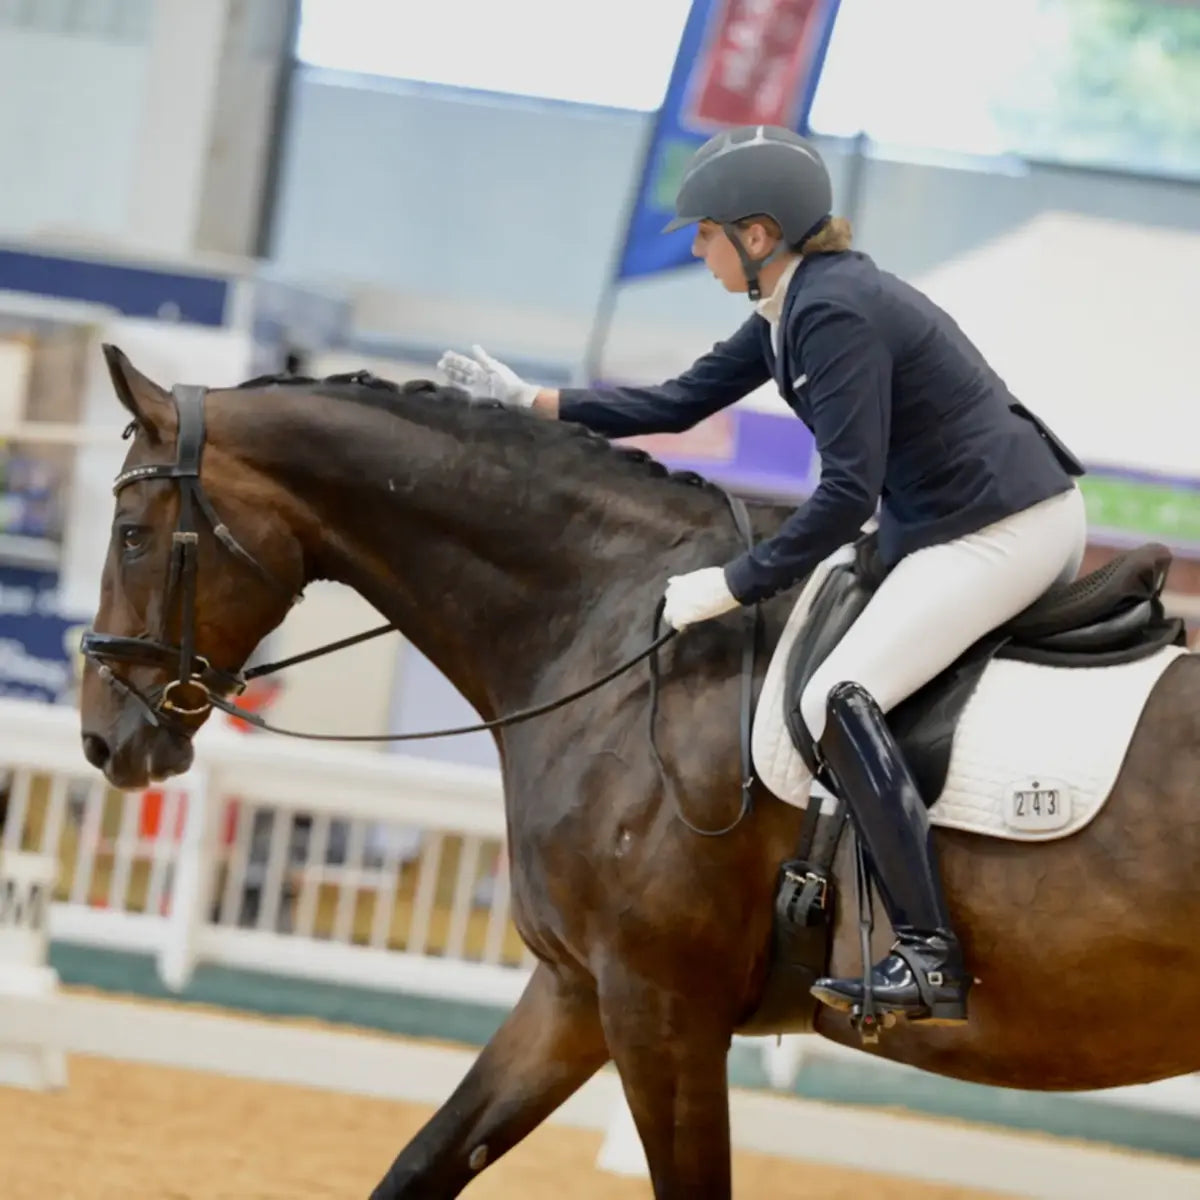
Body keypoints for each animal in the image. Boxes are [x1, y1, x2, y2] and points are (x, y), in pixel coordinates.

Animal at [77, 344, 1200, 1199]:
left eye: (131, 536)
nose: (102, 740)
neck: (607, 626)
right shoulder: (578, 992)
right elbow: (421, 1165)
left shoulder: (662, 1011)